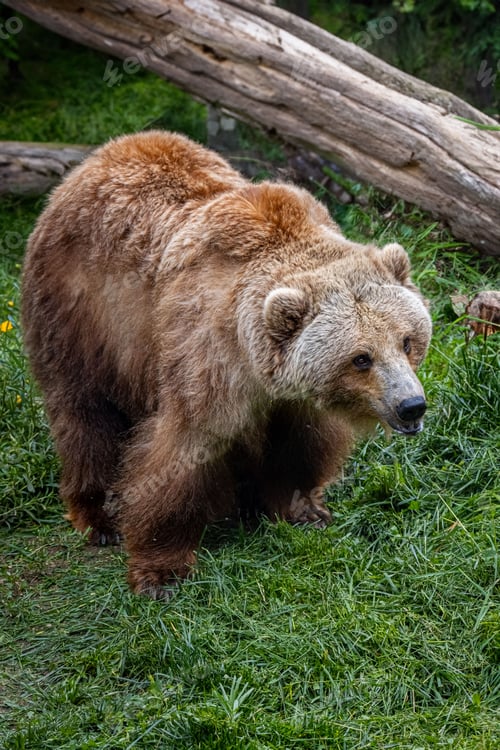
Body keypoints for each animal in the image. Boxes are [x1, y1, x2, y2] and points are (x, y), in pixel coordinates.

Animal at [22, 130, 432, 599]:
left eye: (407, 341)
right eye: (361, 358)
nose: (411, 405)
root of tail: (99, 156)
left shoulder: (288, 394)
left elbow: (298, 445)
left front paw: (303, 509)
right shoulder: (206, 351)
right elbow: (184, 450)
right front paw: (161, 571)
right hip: (82, 313)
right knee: (85, 414)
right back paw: (98, 516)